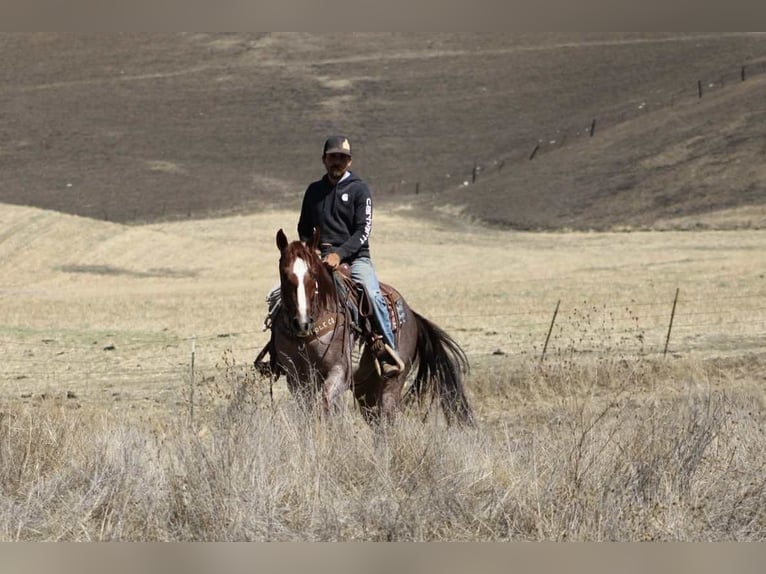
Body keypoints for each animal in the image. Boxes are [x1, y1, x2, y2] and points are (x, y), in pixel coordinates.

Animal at [265, 228, 474, 426]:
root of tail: (413, 316)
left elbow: (323, 403)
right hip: (366, 390)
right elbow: (308, 411)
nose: (302, 322)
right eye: (285, 275)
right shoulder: (296, 378)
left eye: (313, 275)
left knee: (388, 420)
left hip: (392, 384)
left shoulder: (340, 372)